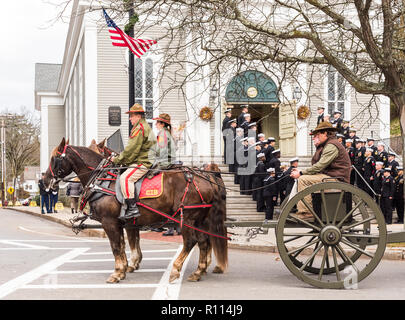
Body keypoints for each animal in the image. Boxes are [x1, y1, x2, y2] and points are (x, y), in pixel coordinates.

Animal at [45, 138, 227, 282]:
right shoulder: (125, 223)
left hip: (187, 218)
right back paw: (198, 271)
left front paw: (118, 272)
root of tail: (204, 176)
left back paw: (176, 269)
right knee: (204, 241)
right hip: (199, 219)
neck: (103, 179)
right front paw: (126, 267)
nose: (44, 180)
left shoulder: (110, 222)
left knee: (191, 242)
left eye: (54, 159)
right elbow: (125, 244)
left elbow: (117, 246)